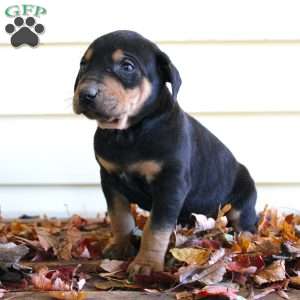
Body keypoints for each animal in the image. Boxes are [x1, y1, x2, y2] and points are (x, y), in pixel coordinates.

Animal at [73, 30, 258, 276]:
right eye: (84, 64)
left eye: (127, 66)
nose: (85, 94)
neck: (129, 133)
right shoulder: (110, 180)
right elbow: (119, 217)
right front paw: (120, 246)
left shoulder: (170, 184)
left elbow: (156, 228)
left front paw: (146, 264)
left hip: (243, 199)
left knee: (246, 224)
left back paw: (244, 243)